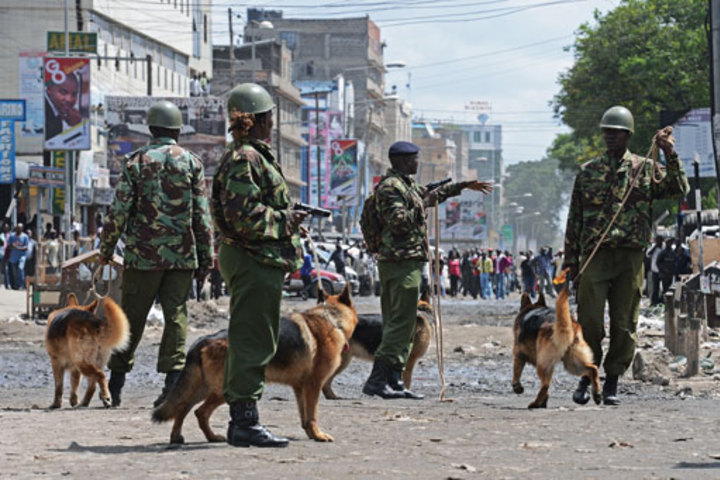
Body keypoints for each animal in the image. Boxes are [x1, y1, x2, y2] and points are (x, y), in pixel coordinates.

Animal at [152, 284, 358, 444]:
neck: (331, 319)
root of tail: (205, 339)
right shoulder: (313, 386)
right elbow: (313, 414)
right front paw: (318, 435)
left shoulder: (300, 388)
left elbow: (304, 416)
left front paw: (310, 433)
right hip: (223, 390)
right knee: (200, 412)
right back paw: (211, 437)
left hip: (202, 388)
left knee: (182, 408)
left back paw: (180, 437)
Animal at [510, 270, 604, 408]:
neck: (532, 309)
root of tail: (568, 325)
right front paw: (544, 402)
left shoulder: (519, 354)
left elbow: (516, 374)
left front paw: (517, 387)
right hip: (572, 363)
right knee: (593, 369)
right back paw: (597, 393)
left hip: (544, 364)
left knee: (545, 385)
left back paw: (535, 403)